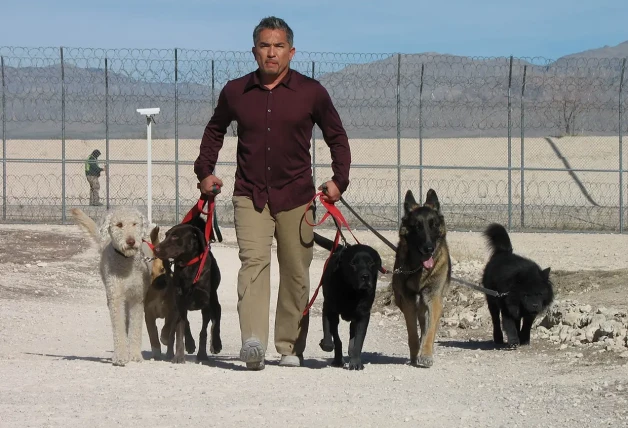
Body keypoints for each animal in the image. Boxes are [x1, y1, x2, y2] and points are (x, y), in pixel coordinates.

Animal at [70, 206, 152, 364]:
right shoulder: (115, 297)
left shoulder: (137, 298)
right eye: (119, 224)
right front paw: (120, 356)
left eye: (135, 224)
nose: (131, 241)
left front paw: (135, 354)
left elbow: (136, 328)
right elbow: (118, 327)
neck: (126, 261)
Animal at [152, 216, 221, 362]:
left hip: (214, 299)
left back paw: (216, 343)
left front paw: (202, 354)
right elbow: (182, 329)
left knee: (216, 318)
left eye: (175, 236)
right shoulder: (181, 303)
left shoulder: (205, 304)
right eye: (166, 235)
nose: (156, 249)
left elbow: (203, 331)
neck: (189, 266)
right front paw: (182, 352)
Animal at [314, 232, 382, 370]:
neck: (351, 291)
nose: (365, 276)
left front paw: (356, 362)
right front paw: (327, 345)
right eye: (353, 263)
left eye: (371, 262)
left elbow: (358, 342)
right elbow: (333, 338)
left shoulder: (363, 315)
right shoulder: (330, 310)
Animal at [392, 190, 452, 368]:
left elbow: (430, 332)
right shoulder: (409, 303)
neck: (419, 270)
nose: (429, 248)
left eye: (433, 225)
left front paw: (425, 354)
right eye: (417, 227)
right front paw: (415, 354)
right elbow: (412, 334)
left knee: (428, 327)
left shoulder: (434, 300)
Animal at [480, 222, 556, 350]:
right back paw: (498, 339)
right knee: (496, 320)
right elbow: (510, 326)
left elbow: (526, 325)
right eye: (526, 295)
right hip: (492, 301)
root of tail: (504, 252)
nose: (535, 305)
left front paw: (524, 340)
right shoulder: (507, 308)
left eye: (540, 294)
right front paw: (514, 341)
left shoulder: (528, 313)